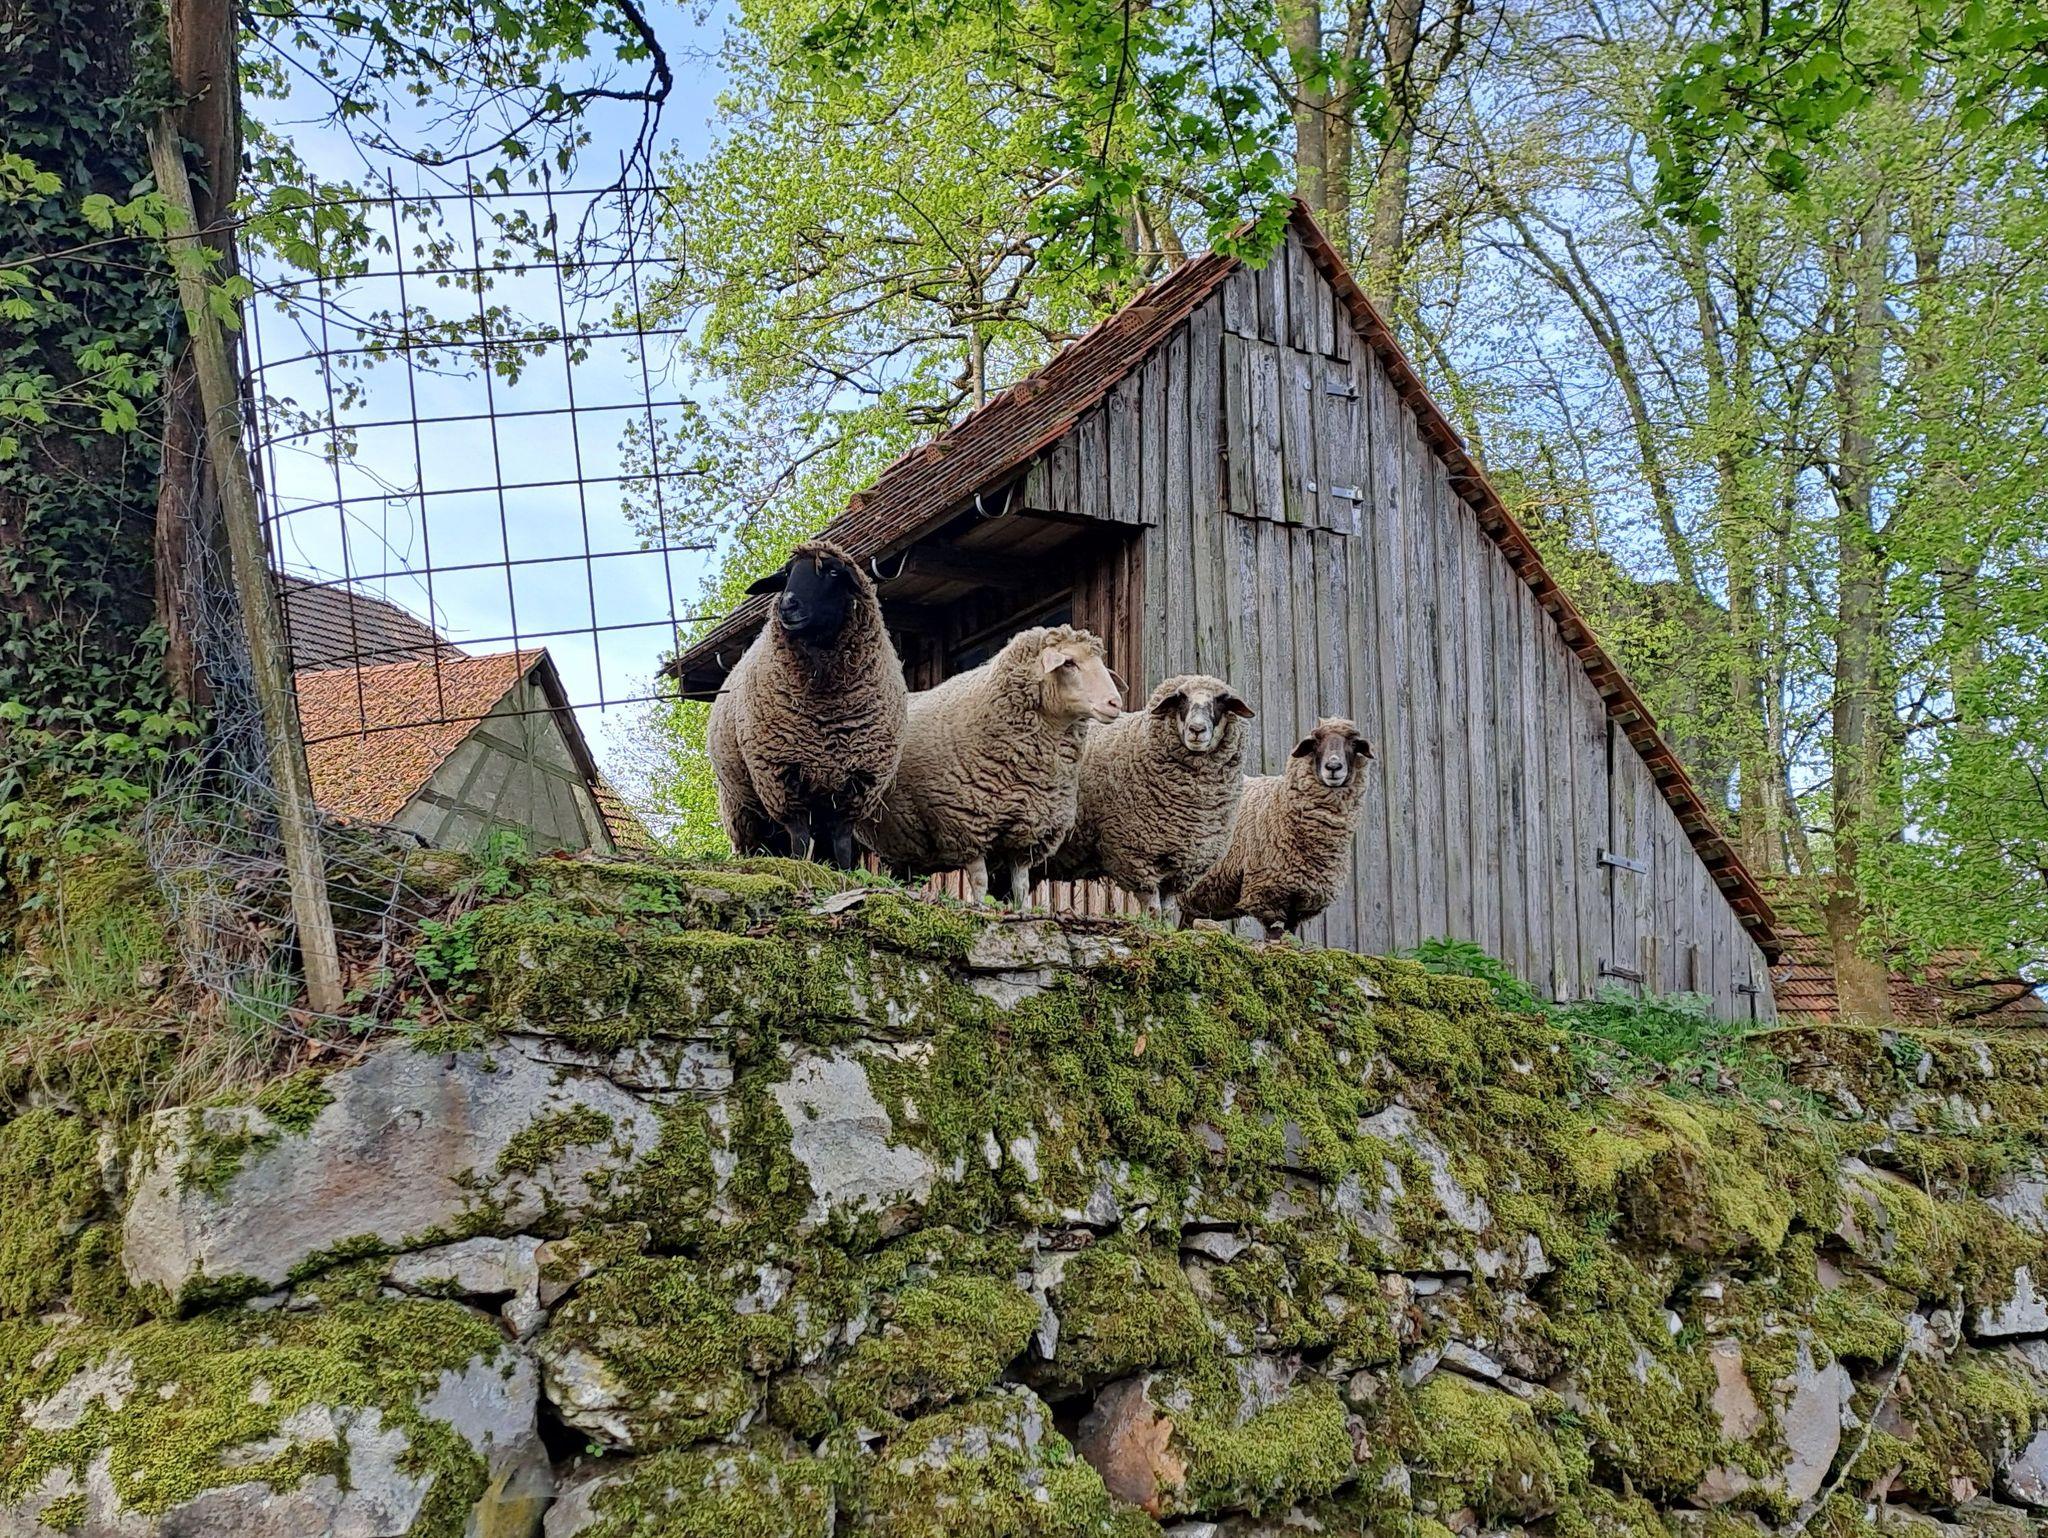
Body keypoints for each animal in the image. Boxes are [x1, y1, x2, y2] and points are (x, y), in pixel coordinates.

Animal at [707, 540, 908, 869]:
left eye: (833, 571)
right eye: (787, 574)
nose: (788, 605)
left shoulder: (856, 784)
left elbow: (842, 842)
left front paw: (844, 872)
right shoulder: (781, 775)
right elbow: (799, 837)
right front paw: (799, 865)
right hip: (740, 806)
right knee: (756, 841)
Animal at [858, 624, 1123, 905]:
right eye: (1069, 662)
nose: (1114, 703)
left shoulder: (1026, 835)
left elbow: (1021, 886)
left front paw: (1021, 910)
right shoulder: (966, 825)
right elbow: (980, 881)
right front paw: (980, 906)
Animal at [1039, 673, 1255, 919]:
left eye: (1221, 701)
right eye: (1180, 699)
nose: (1197, 729)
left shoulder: (1182, 865)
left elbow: (1169, 909)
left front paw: (1166, 926)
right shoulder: (1136, 854)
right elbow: (1152, 907)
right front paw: (1152, 924)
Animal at [1180, 717, 1374, 941]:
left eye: (1354, 743)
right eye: (1315, 742)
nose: (1333, 766)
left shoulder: (1300, 899)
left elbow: (1290, 933)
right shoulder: (1267, 890)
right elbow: (1274, 933)